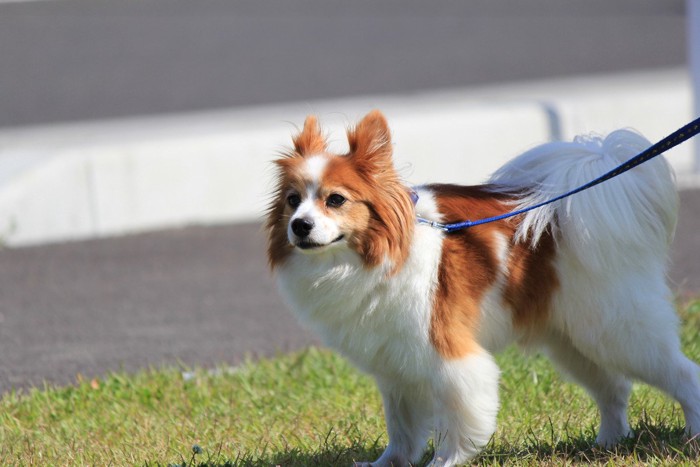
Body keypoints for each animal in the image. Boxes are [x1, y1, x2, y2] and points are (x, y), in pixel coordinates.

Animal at [266, 111, 700, 466]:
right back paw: (607, 443)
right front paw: (388, 463)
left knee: (682, 375)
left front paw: (445, 462)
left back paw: (691, 437)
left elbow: (460, 417)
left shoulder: (450, 355)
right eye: (292, 201)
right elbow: (401, 427)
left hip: (621, 331)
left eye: (336, 200)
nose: (300, 226)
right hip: (574, 339)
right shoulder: (395, 367)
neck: (370, 255)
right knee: (613, 388)